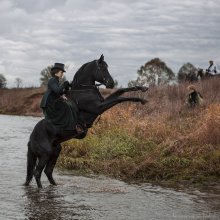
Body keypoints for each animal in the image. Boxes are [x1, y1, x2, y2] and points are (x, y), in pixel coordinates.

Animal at [24, 54, 148, 187]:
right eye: (102, 68)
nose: (111, 83)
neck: (84, 90)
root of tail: (31, 139)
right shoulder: (99, 107)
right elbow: (119, 98)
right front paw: (141, 100)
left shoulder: (102, 103)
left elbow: (121, 91)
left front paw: (142, 87)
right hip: (45, 154)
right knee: (37, 173)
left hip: (56, 151)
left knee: (47, 171)